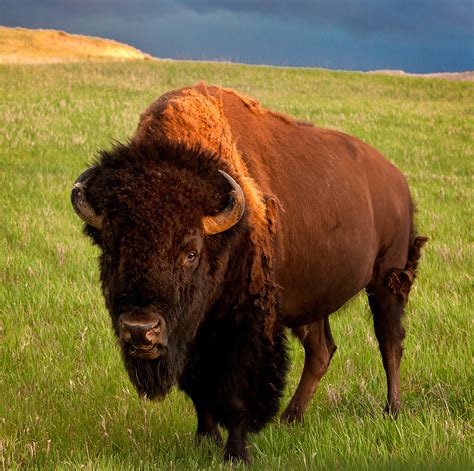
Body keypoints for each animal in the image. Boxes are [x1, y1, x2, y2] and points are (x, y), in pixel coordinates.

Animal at [72, 83, 428, 462]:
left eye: (191, 253)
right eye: (110, 251)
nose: (141, 330)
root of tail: (397, 181)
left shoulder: (245, 325)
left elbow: (236, 390)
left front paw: (235, 453)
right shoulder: (193, 332)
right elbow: (199, 388)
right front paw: (205, 439)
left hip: (387, 279)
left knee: (389, 340)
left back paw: (392, 410)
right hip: (311, 301)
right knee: (321, 351)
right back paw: (291, 419)